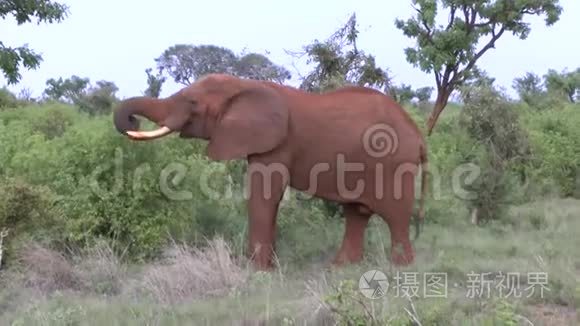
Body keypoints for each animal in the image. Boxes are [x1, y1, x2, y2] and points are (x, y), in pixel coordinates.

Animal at [114, 74, 430, 270]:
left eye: (192, 103)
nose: (133, 120)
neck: (243, 85)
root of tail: (418, 135)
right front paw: (269, 266)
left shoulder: (277, 143)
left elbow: (263, 196)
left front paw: (257, 271)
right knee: (356, 214)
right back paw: (339, 268)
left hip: (393, 163)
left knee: (395, 216)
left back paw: (401, 268)